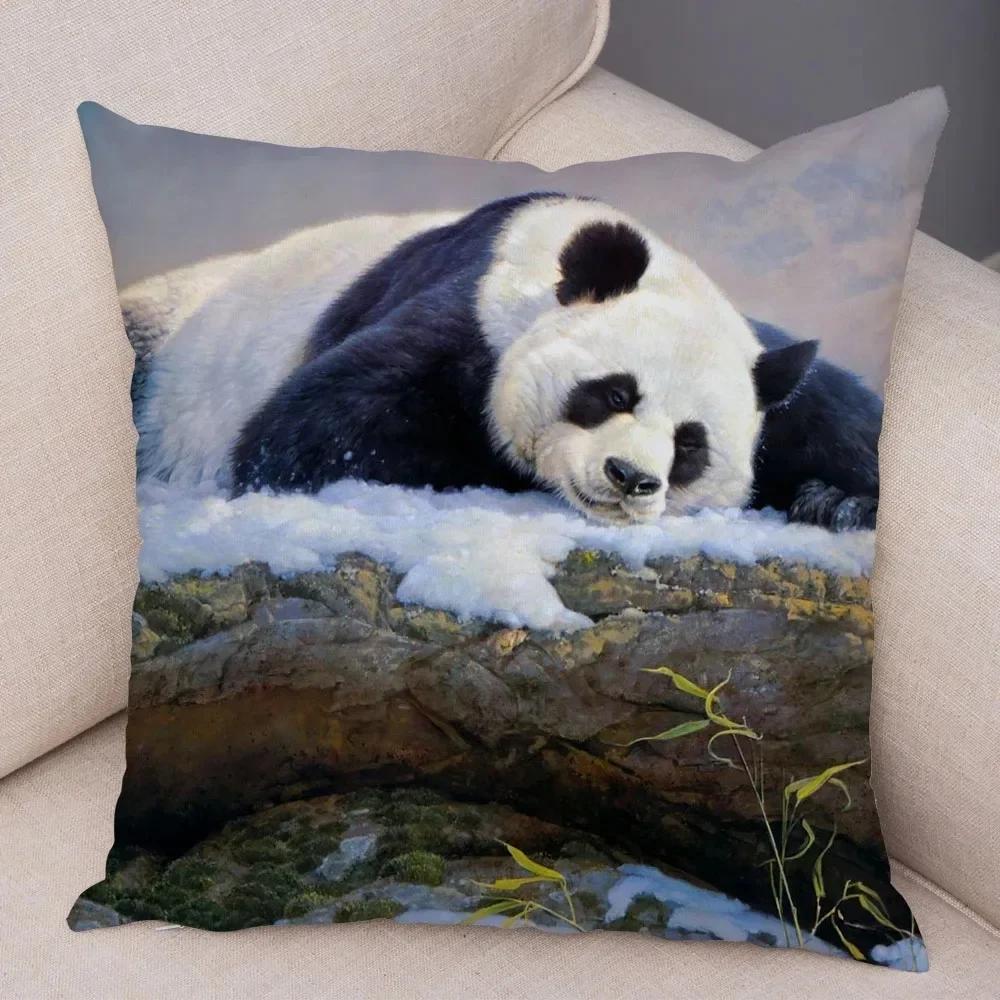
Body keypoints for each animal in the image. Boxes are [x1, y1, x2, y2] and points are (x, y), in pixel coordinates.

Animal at [123, 192, 880, 531]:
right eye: (614, 394)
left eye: (690, 443)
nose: (630, 478)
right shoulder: (468, 318)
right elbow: (315, 437)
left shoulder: (773, 377)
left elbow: (845, 424)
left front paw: (837, 502)